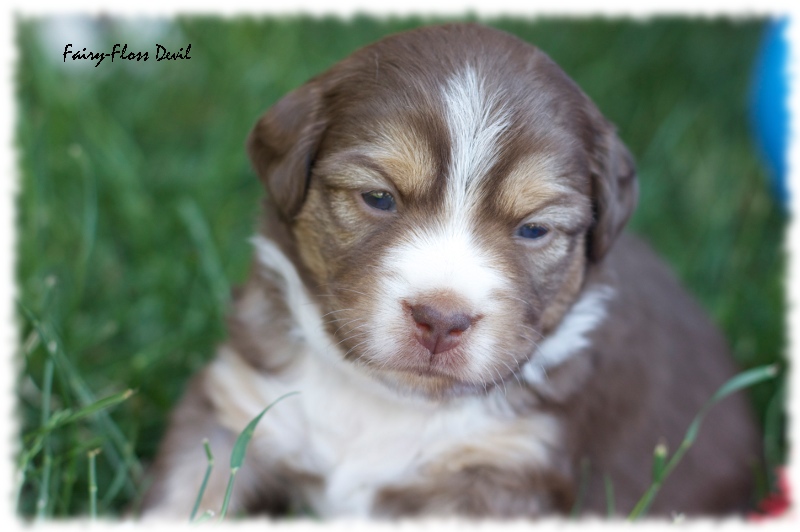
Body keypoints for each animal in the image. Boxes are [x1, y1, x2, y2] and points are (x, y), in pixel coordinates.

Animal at [141, 22, 760, 516]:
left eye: (532, 229)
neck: (390, 401)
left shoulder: (501, 473)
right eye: (378, 198)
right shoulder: (235, 408)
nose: (441, 319)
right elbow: (185, 498)